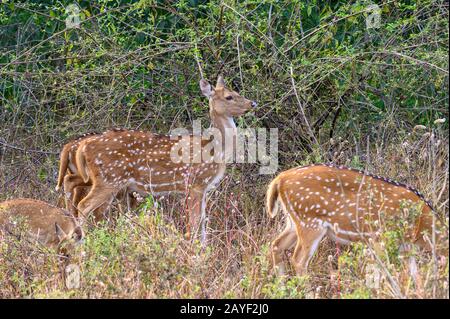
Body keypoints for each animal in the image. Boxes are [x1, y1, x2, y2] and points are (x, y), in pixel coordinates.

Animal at [74, 77, 256, 242]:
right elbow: (196, 223)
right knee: (83, 206)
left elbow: (202, 222)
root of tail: (84, 146)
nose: (252, 103)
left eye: (237, 92)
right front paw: (196, 248)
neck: (214, 149)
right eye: (229, 97)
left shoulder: (203, 188)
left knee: (94, 211)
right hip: (109, 179)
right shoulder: (195, 183)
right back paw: (84, 243)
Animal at [266, 164, 438, 276]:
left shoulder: (406, 248)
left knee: (276, 245)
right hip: (310, 222)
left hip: (292, 222)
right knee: (299, 260)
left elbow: (414, 275)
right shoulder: (379, 237)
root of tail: (279, 179)